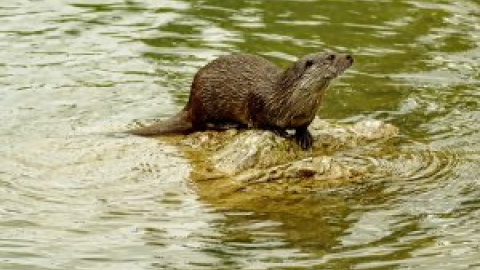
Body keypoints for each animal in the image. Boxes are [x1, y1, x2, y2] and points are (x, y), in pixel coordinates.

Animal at [127, 51, 352, 149]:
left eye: (334, 52)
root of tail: (190, 101)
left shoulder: (308, 115)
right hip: (205, 102)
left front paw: (304, 136)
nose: (349, 55)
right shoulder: (258, 101)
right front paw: (278, 130)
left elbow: (304, 126)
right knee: (202, 124)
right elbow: (260, 121)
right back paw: (228, 125)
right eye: (331, 56)